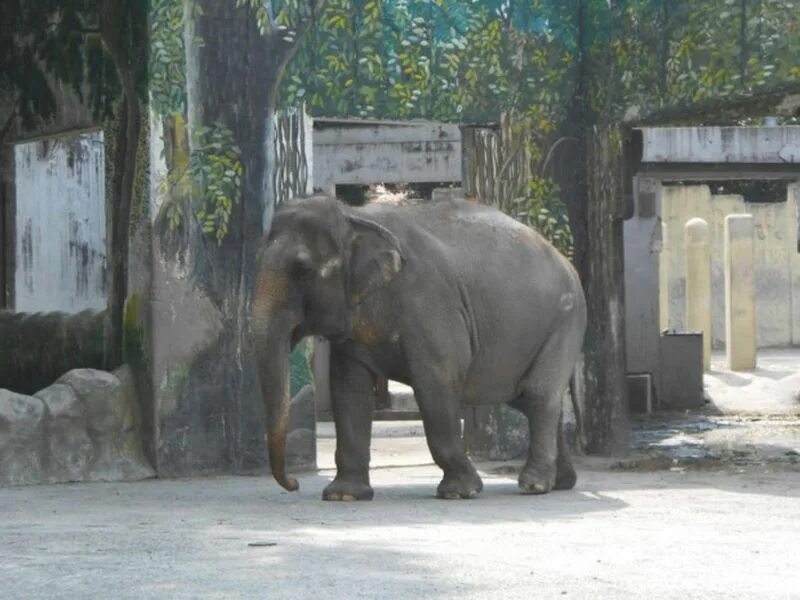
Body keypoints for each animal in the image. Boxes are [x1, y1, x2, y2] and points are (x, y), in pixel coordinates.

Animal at [252, 195, 588, 500]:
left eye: (303, 270)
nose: (294, 484)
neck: (354, 216)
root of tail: (567, 262)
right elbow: (349, 391)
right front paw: (344, 495)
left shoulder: (431, 306)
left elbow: (435, 383)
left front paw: (460, 492)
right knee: (531, 399)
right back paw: (561, 482)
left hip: (565, 322)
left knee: (537, 395)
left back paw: (534, 486)